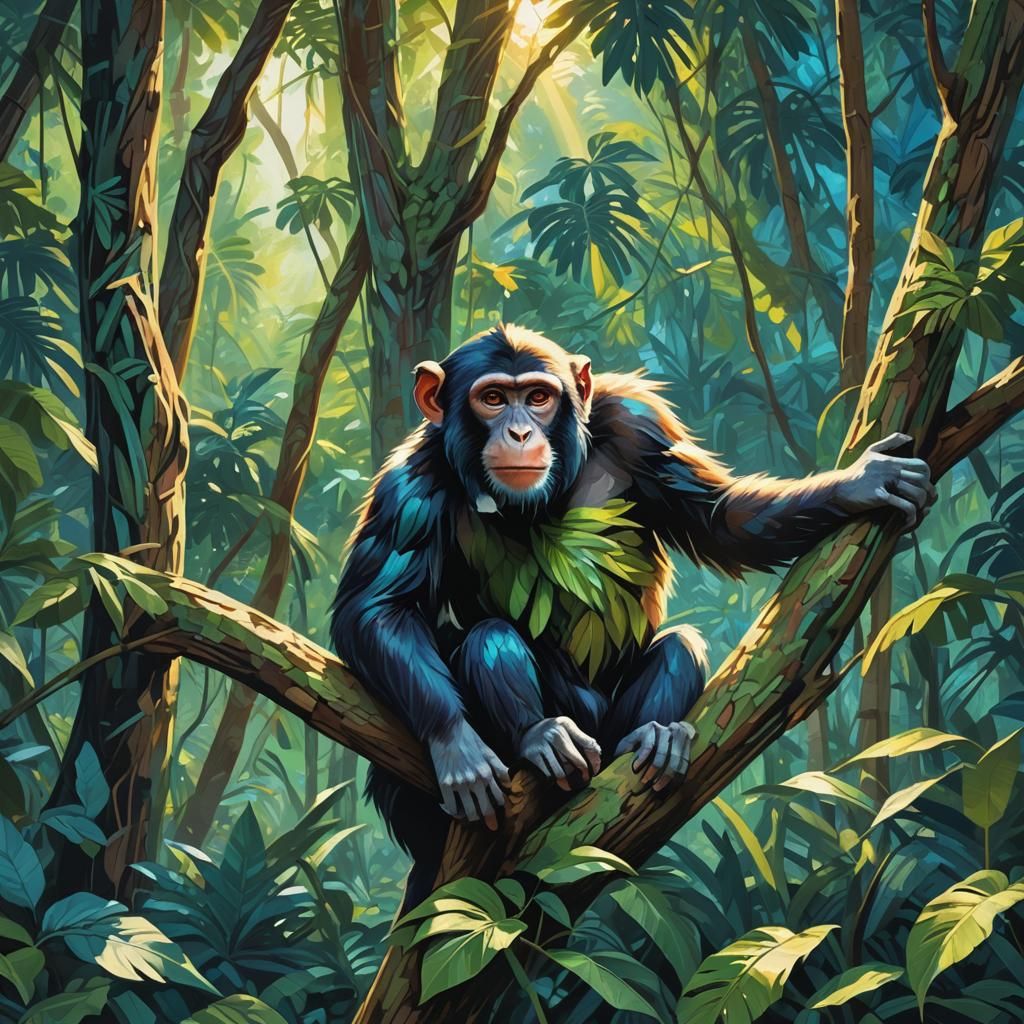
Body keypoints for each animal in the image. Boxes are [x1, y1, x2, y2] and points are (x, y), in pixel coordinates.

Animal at [330, 324, 935, 909]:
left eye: (539, 397)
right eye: (493, 398)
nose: (520, 432)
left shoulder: (638, 427)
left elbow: (718, 516)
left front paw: (860, 484)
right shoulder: (410, 483)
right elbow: (378, 606)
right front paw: (456, 744)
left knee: (678, 647)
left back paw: (651, 737)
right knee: (487, 638)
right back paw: (540, 737)